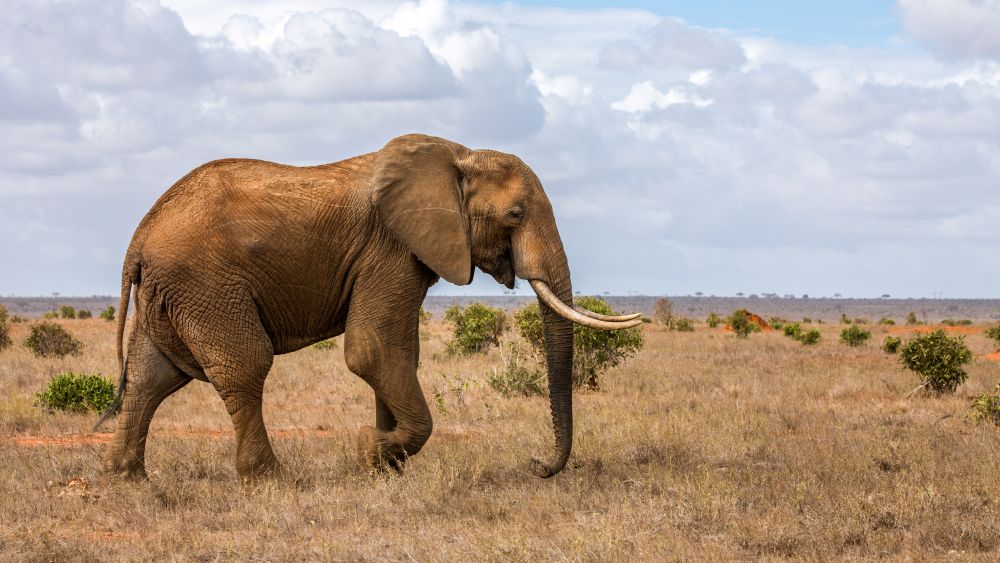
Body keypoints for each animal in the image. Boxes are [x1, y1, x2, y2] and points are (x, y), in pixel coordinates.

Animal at [97, 133, 641, 481]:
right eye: (515, 215)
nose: (538, 467)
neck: (459, 157)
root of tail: (140, 235)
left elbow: (398, 355)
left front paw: (386, 468)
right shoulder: (390, 249)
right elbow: (373, 351)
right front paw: (370, 453)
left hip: (175, 292)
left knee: (151, 377)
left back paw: (128, 478)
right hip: (207, 286)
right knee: (245, 366)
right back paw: (272, 479)